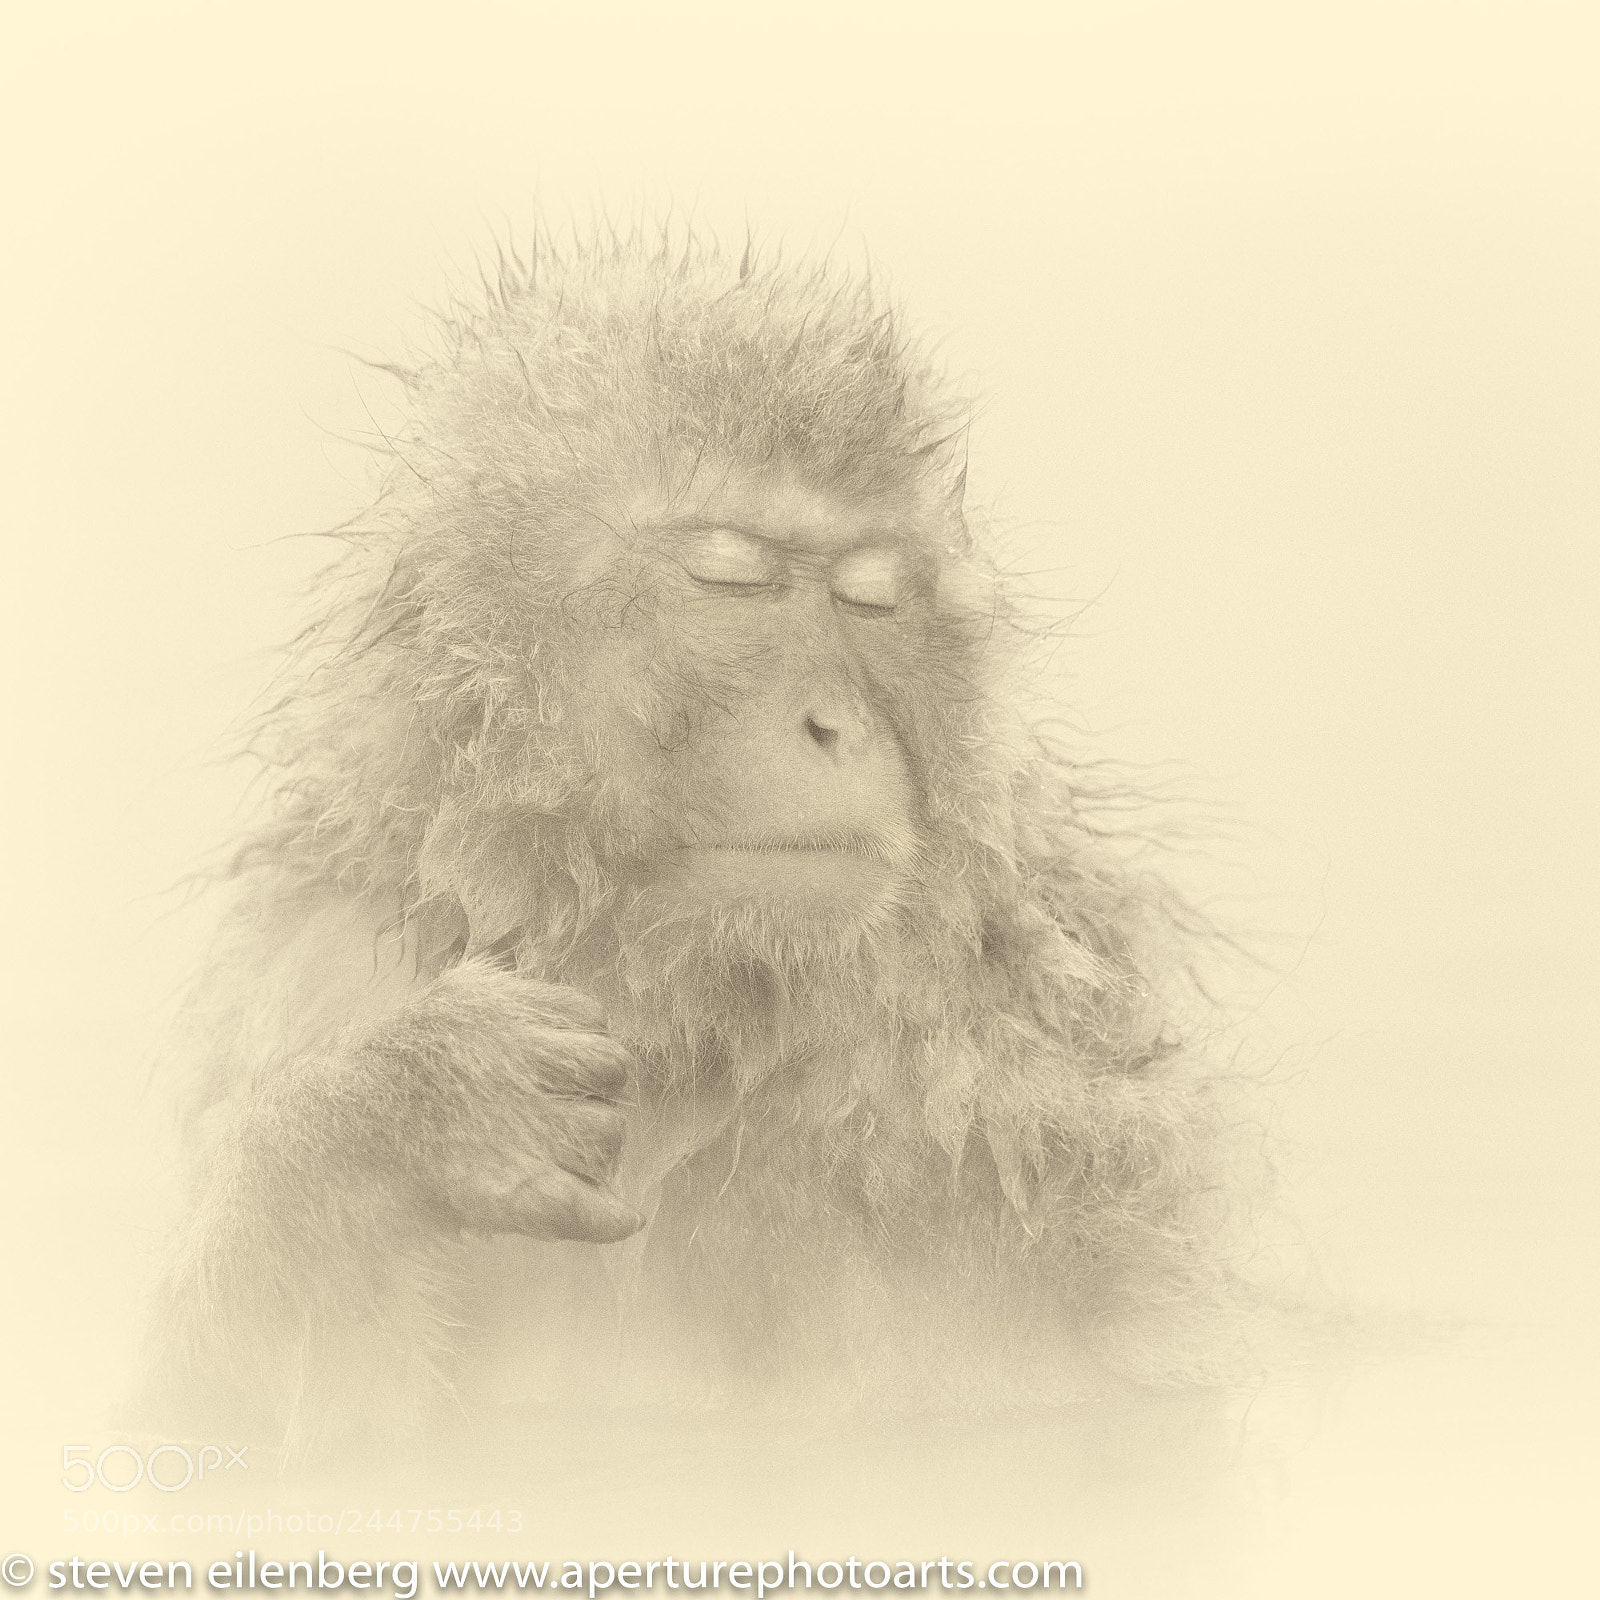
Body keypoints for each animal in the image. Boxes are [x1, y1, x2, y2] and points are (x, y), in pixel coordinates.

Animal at [145, 229, 1254, 1460]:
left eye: (871, 602)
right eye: (731, 581)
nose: (835, 722)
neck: (684, 1012)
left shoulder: (1039, 1077)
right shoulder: (318, 962)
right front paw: (396, 1119)